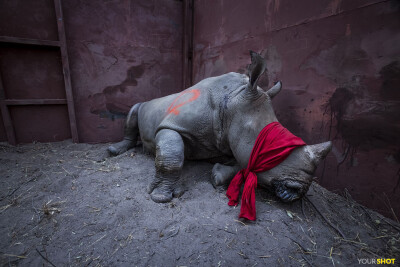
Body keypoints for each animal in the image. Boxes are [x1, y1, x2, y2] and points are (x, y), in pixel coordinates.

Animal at [109, 52, 332, 207]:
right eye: (271, 147)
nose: (299, 190)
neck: (233, 100)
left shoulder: (231, 139)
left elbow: (242, 164)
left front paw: (217, 175)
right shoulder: (172, 125)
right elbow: (171, 158)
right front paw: (160, 196)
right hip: (145, 104)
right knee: (134, 110)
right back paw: (114, 150)